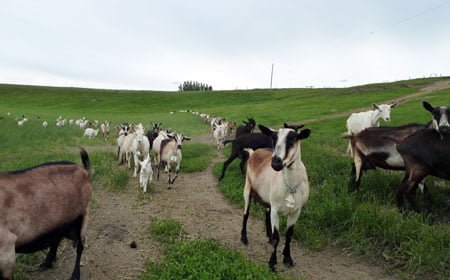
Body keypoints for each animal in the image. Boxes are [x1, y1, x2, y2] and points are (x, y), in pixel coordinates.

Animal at [0, 148, 92, 278]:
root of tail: (84, 171)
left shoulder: (6, 245)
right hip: (59, 221)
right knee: (57, 238)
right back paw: (47, 263)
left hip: (82, 215)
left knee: (80, 246)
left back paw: (75, 275)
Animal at [241, 124, 312, 272]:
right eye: (273, 138)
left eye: (293, 139)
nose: (276, 164)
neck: (290, 186)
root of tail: (254, 152)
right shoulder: (276, 210)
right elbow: (277, 238)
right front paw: (272, 263)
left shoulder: (296, 211)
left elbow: (289, 235)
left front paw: (288, 258)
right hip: (247, 189)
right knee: (246, 213)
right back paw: (244, 238)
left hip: (268, 198)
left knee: (266, 213)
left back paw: (267, 235)